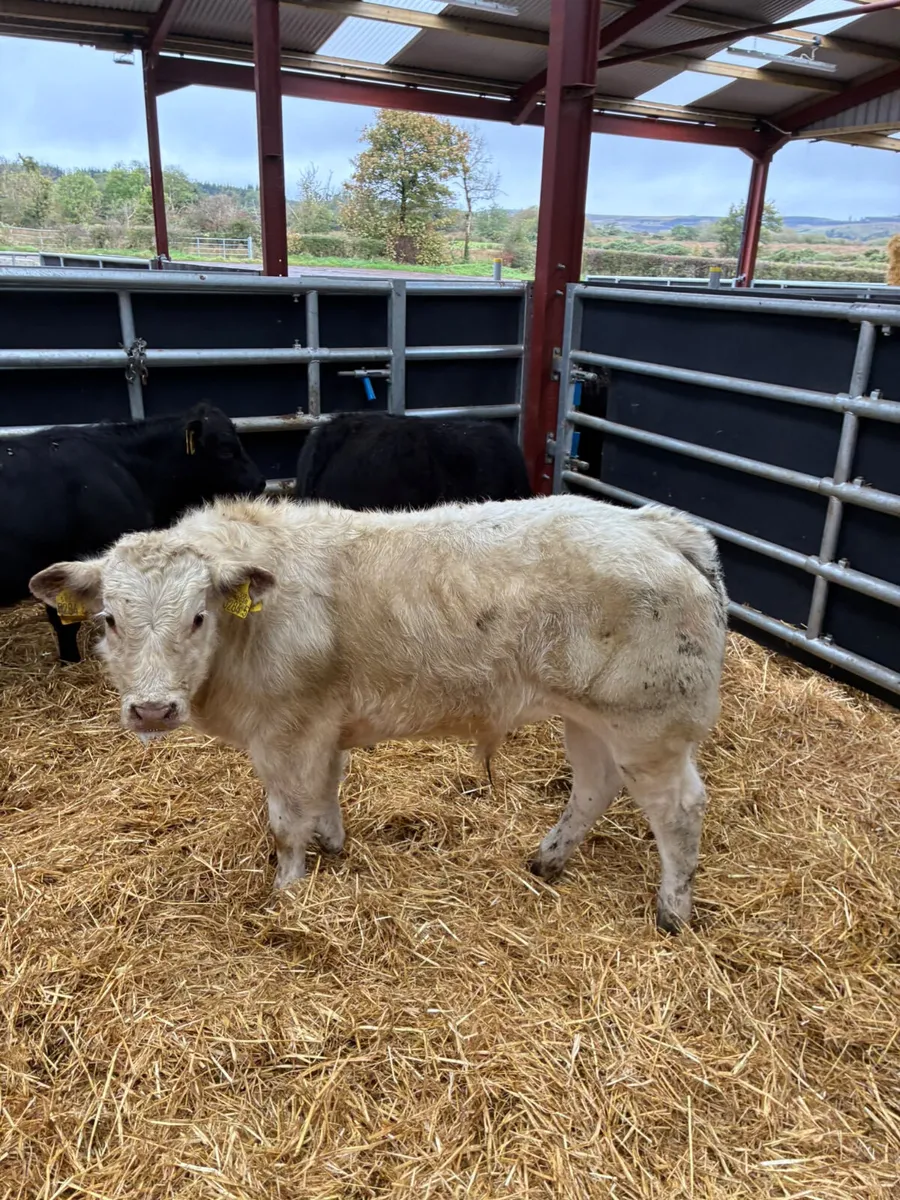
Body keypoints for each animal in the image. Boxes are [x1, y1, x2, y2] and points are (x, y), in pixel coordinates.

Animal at [30, 493, 727, 932]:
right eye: (109, 620)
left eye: (197, 617)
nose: (152, 709)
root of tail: (656, 526)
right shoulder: (322, 729)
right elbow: (326, 795)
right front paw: (333, 847)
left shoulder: (287, 734)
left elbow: (286, 822)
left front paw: (288, 890)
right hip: (588, 719)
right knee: (593, 786)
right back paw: (547, 860)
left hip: (649, 726)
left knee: (678, 810)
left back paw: (672, 912)